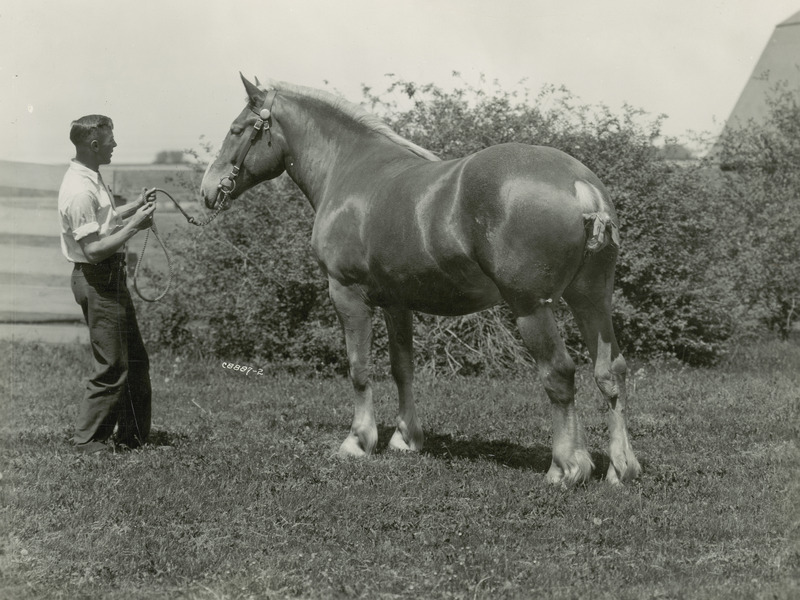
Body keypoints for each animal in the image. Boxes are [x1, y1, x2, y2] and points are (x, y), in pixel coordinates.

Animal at [202, 76, 644, 488]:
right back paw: (620, 468)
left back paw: (565, 468)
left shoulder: (346, 293)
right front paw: (405, 439)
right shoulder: (397, 302)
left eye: (237, 129)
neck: (349, 169)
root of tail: (579, 184)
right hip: (591, 300)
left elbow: (358, 367)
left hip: (531, 307)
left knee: (559, 373)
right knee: (610, 372)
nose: (207, 190)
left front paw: (357, 441)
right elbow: (403, 368)